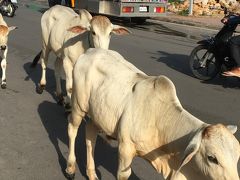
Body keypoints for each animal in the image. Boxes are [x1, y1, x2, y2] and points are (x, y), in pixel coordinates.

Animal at [65, 48, 240, 180]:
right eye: (212, 158)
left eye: (237, 156)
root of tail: (90, 52)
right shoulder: (125, 148)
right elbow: (124, 174)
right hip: (78, 105)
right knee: (72, 130)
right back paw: (70, 168)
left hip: (97, 114)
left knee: (90, 136)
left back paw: (91, 173)